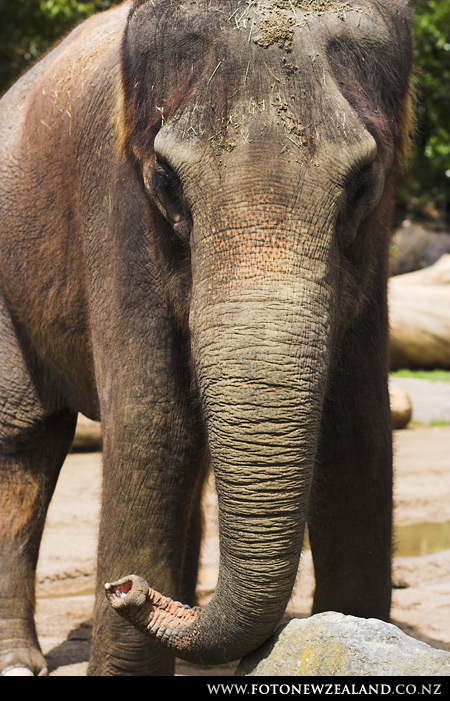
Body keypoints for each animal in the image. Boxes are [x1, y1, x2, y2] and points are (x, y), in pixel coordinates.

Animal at [0, 0, 413, 677]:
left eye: (362, 182)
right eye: (166, 179)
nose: (124, 588)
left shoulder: (373, 248)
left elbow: (357, 428)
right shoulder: (119, 210)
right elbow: (152, 425)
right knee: (24, 439)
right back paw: (19, 660)